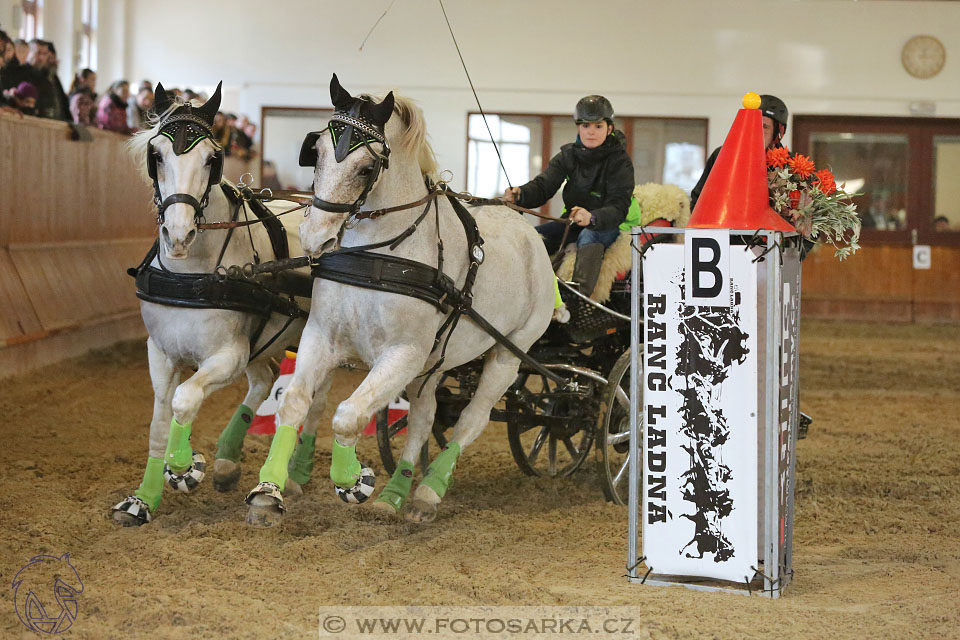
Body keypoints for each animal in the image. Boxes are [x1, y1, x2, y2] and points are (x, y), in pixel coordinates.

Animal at [112, 84, 322, 524]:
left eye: (212, 158)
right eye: (156, 155)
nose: (178, 235)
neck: (190, 275)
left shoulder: (228, 355)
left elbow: (185, 399)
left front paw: (183, 466)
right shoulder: (159, 352)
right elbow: (158, 421)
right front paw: (142, 499)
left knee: (314, 398)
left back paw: (292, 475)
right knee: (265, 379)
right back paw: (228, 462)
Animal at [244, 76, 552, 524]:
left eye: (366, 168)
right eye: (316, 154)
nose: (314, 237)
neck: (377, 255)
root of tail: (530, 233)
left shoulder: (403, 353)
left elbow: (348, 415)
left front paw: (352, 480)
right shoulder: (321, 336)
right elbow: (296, 404)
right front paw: (268, 493)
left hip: (508, 355)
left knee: (470, 421)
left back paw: (426, 493)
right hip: (436, 361)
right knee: (424, 418)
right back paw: (396, 493)